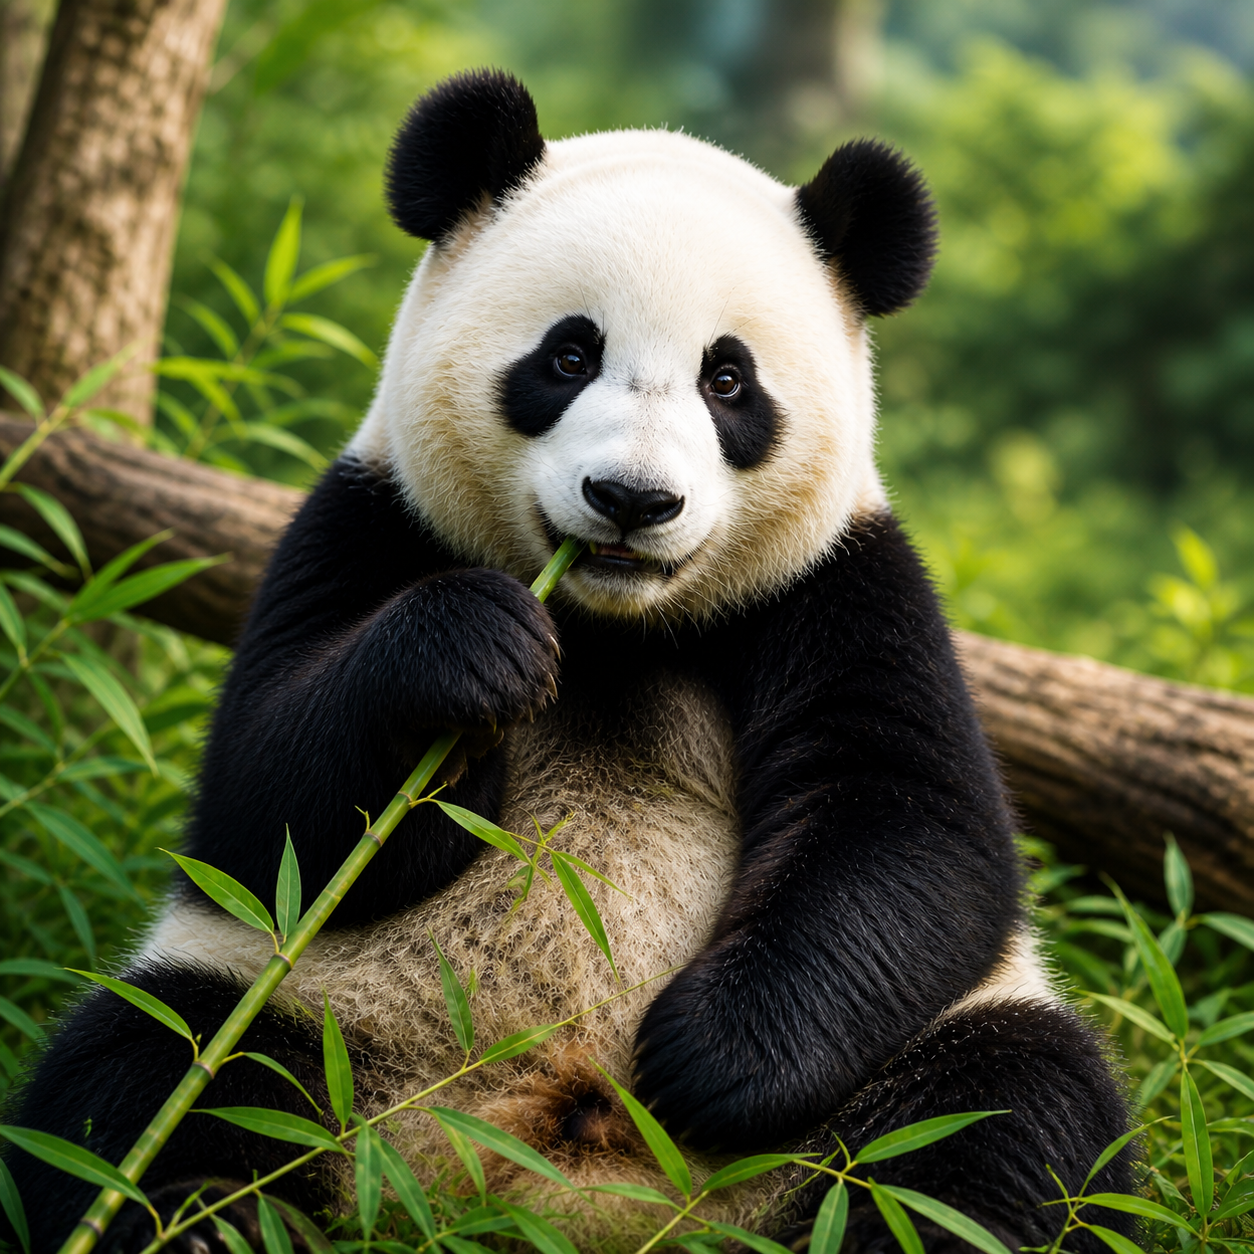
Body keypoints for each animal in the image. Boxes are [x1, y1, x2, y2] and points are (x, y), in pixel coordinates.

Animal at [6, 70, 1133, 1253]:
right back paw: (199, 1220)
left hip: (898, 1079)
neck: (610, 624)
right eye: (569, 355)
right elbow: (265, 802)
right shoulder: (371, 522)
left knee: (1002, 1124)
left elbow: (913, 828)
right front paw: (467, 651)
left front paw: (708, 1058)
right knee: (147, 1075)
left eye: (728, 381)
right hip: (309, 1010)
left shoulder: (839, 586)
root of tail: (527, 1193)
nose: (632, 500)